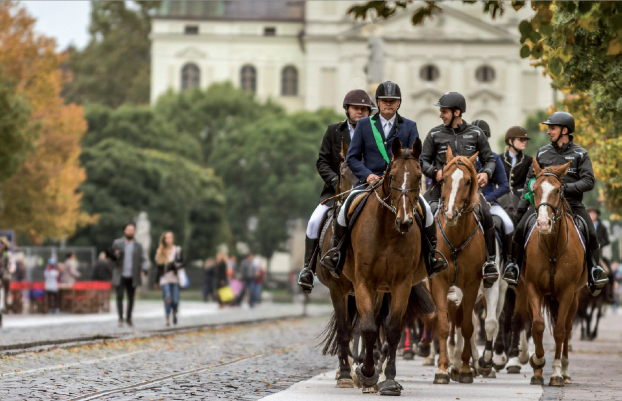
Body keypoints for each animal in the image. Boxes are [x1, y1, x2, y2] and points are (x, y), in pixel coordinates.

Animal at [344, 139, 436, 396]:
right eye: (392, 175)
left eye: (418, 176)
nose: (404, 221)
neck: (387, 231)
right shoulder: (363, 282)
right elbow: (368, 327)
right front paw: (366, 373)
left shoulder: (401, 284)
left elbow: (393, 328)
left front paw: (390, 380)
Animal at [428, 145, 492, 382]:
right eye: (444, 178)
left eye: (468, 181)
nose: (449, 214)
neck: (455, 237)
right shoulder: (439, 283)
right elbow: (444, 326)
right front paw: (442, 370)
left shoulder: (471, 285)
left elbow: (467, 326)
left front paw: (465, 369)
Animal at [524, 158, 588, 386]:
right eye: (534, 189)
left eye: (559, 190)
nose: (543, 223)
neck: (552, 247)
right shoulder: (533, 288)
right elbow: (537, 325)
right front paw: (537, 362)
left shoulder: (567, 292)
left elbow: (560, 331)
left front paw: (557, 373)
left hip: (575, 298)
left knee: (567, 328)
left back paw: (566, 373)